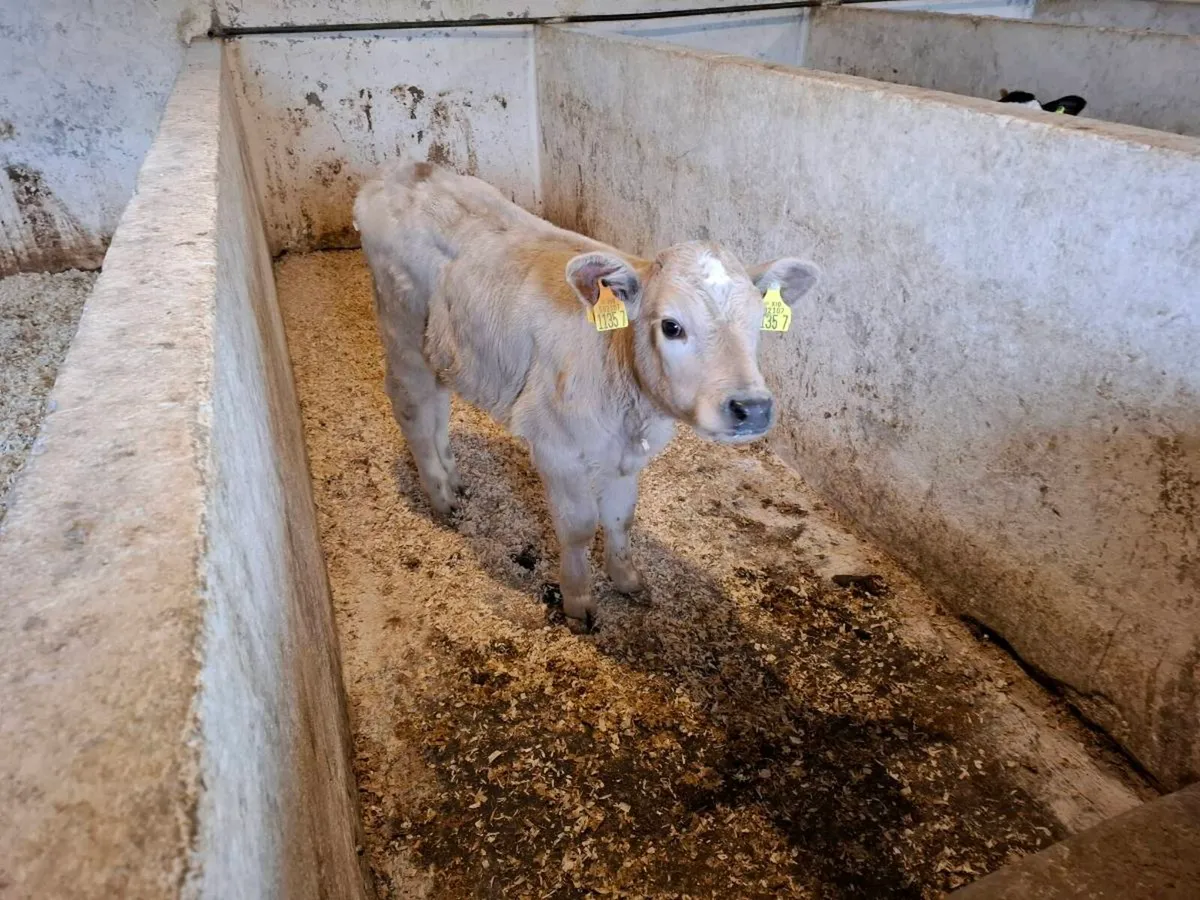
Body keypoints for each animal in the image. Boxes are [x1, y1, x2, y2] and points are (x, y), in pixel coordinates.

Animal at [353, 161, 820, 631]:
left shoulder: (628, 454)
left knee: (439, 408)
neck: (632, 406)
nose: (752, 408)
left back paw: (453, 478)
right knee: (413, 408)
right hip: (402, 328)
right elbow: (578, 528)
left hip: (444, 346)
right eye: (671, 326)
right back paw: (441, 496)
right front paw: (578, 601)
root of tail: (408, 169)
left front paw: (627, 579)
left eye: (760, 321)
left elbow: (620, 517)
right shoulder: (555, 446)